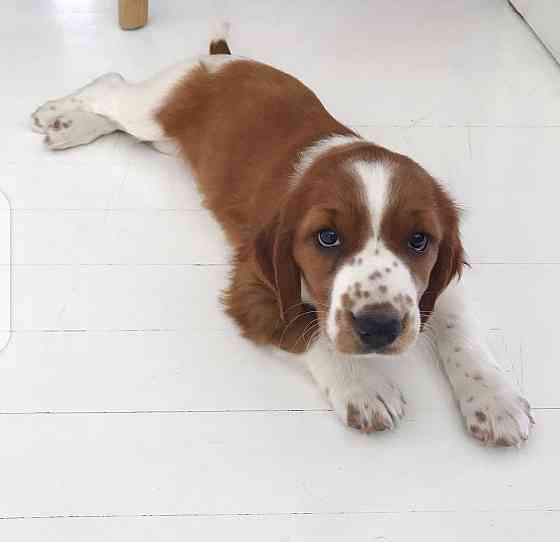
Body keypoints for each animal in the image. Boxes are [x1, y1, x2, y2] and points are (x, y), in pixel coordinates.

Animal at [31, 28, 532, 446]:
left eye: (418, 241)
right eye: (327, 237)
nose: (379, 329)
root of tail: (222, 58)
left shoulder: (431, 286)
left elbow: (459, 328)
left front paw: (495, 399)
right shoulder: (254, 285)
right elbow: (305, 329)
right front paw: (364, 386)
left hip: (161, 138)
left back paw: (67, 126)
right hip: (153, 109)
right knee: (111, 86)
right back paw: (56, 114)